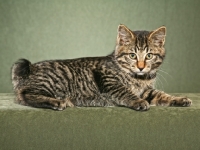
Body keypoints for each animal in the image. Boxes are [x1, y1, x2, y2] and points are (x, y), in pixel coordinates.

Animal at [11, 24, 192, 110]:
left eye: (149, 56)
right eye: (132, 55)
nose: (141, 67)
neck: (139, 78)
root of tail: (30, 69)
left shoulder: (147, 91)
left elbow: (162, 95)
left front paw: (179, 99)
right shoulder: (109, 80)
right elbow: (125, 92)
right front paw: (137, 101)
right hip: (50, 82)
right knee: (24, 95)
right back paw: (58, 102)